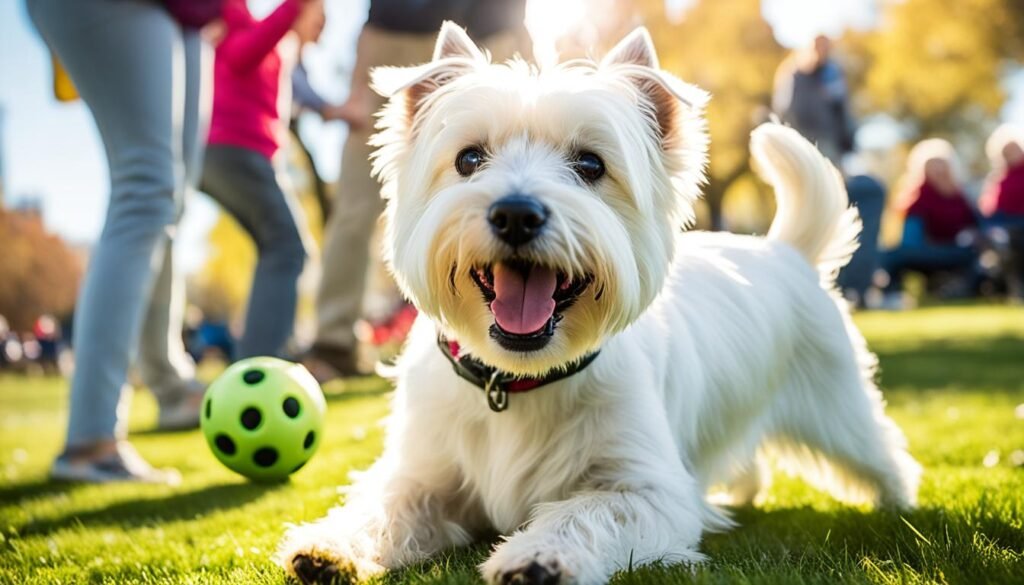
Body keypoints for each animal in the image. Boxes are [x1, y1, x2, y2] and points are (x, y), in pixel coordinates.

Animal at [278, 24, 921, 585]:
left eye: (590, 164)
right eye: (468, 159)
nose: (516, 213)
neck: (517, 381)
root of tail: (787, 249)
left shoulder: (648, 489)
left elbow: (582, 513)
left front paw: (536, 556)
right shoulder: (423, 474)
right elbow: (383, 508)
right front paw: (328, 547)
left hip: (838, 405)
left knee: (882, 452)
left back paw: (900, 507)